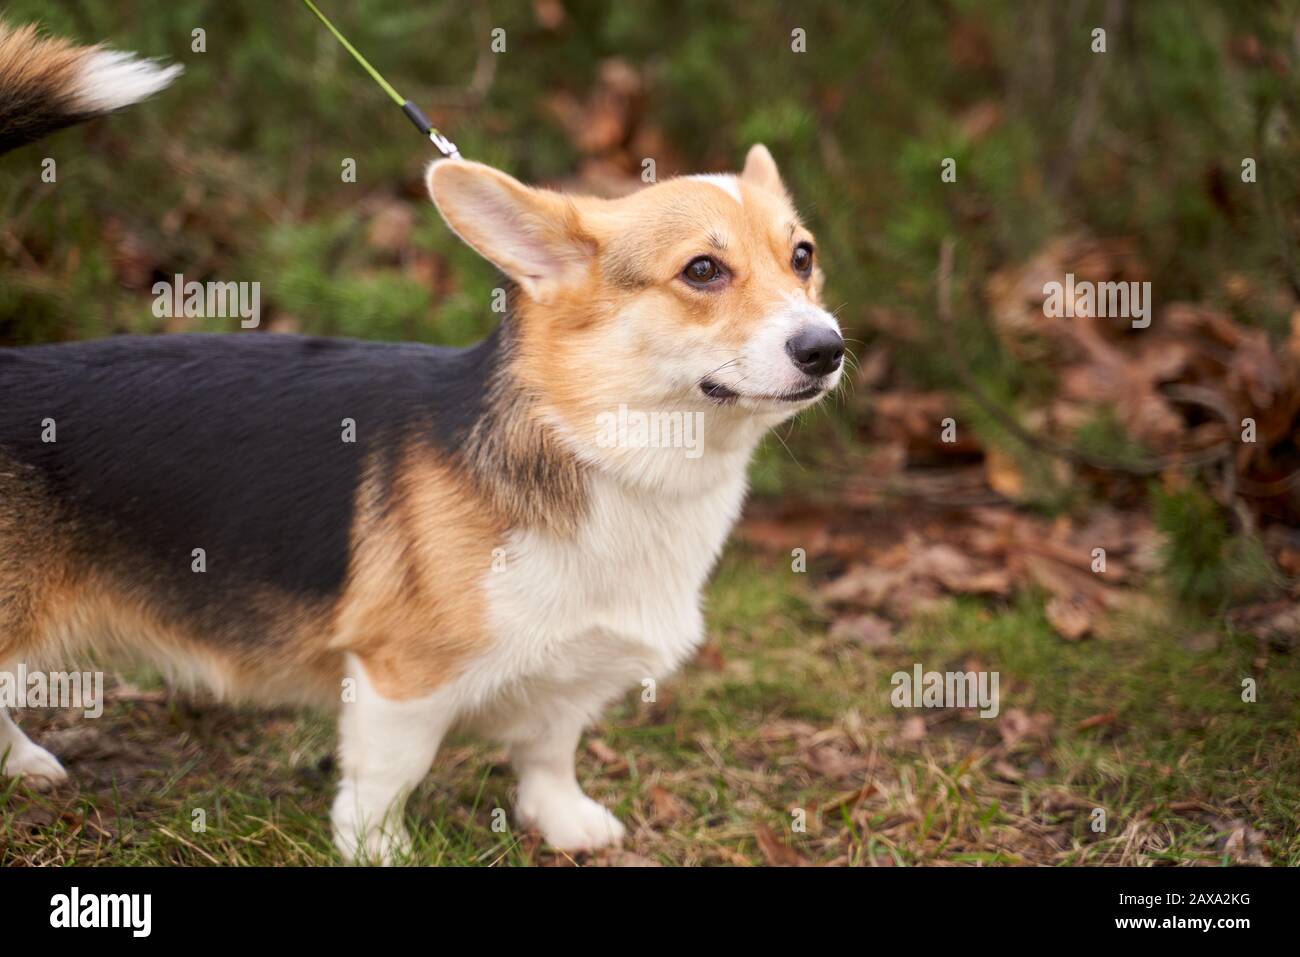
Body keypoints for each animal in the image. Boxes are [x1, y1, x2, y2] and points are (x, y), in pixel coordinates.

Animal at [0, 22, 847, 863]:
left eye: (803, 256)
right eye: (702, 270)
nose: (827, 348)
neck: (603, 450)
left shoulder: (568, 674)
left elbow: (550, 748)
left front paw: (563, 820)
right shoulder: (400, 677)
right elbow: (389, 774)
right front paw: (378, 847)